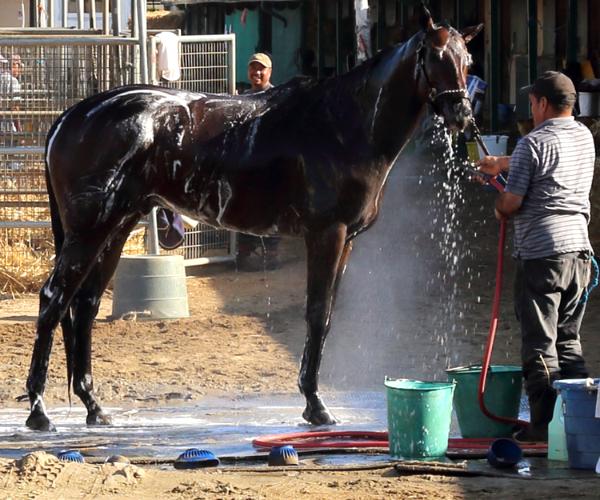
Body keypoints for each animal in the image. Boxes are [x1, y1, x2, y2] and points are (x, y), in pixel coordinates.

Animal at [25, 5, 482, 432]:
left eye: (468, 60)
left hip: (115, 228)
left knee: (84, 305)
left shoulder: (347, 240)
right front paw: (316, 405)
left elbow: (327, 316)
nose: (461, 114)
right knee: (53, 300)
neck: (344, 123)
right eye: (434, 55)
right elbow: (316, 313)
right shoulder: (327, 234)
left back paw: (94, 407)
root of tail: (71, 117)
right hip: (89, 231)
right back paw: (39, 411)